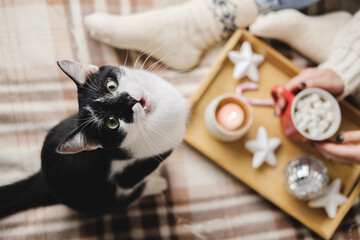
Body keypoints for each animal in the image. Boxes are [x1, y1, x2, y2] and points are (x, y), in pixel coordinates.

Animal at [0, 60, 190, 218]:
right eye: (112, 122)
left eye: (111, 86)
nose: (129, 101)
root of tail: (43, 181)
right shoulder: (130, 171)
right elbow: (130, 182)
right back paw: (158, 183)